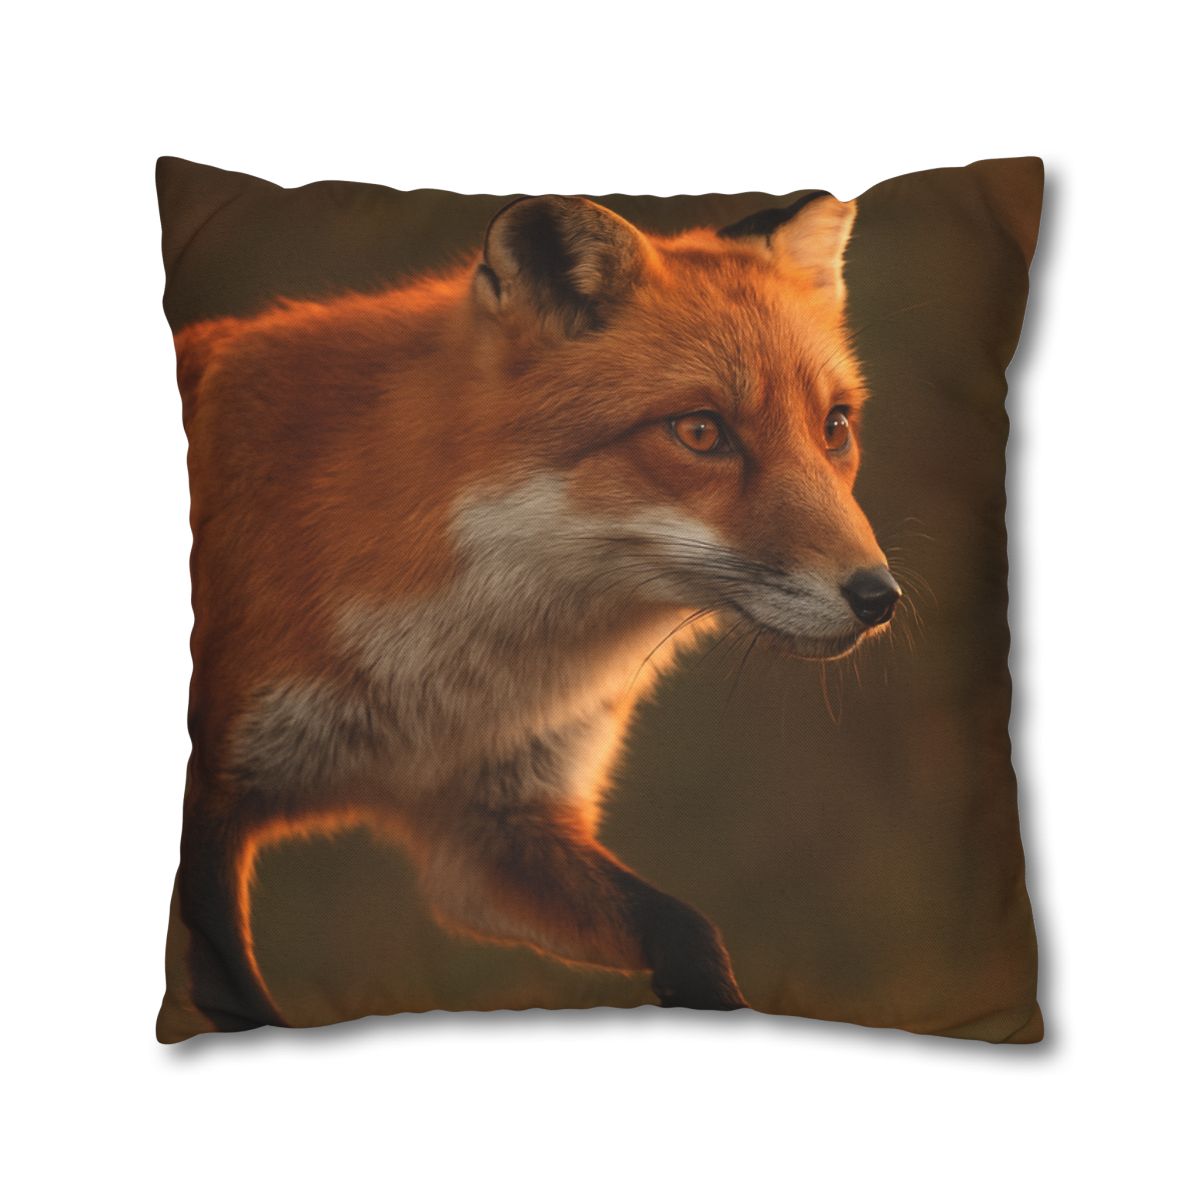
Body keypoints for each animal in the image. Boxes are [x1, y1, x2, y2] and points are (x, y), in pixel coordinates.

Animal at [164, 190, 902, 1036]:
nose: (879, 597)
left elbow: (690, 934)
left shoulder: (493, 831)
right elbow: (241, 996)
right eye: (700, 431)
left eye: (834, 427)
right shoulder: (212, 807)